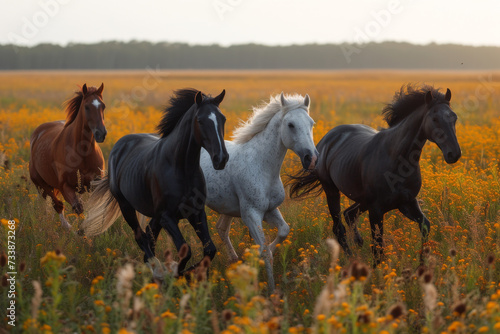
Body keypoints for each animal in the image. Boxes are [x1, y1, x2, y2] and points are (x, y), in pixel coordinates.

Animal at [29, 83, 106, 230]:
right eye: (87, 107)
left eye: (103, 106)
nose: (101, 133)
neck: (83, 153)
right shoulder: (65, 187)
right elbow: (78, 208)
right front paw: (81, 232)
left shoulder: (95, 184)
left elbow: (95, 208)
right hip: (41, 184)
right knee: (57, 205)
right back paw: (67, 228)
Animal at [82, 88, 229, 280]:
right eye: (200, 120)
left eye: (223, 119)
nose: (221, 159)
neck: (181, 168)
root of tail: (119, 146)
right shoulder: (167, 216)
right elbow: (186, 251)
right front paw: (174, 272)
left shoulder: (196, 212)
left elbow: (210, 249)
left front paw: (189, 273)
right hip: (126, 206)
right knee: (141, 237)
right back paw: (156, 268)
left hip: (155, 215)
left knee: (149, 235)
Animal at [199, 92, 316, 290]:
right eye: (290, 125)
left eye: (311, 123)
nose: (312, 158)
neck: (261, 165)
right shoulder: (251, 214)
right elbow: (264, 250)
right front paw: (270, 290)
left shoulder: (270, 210)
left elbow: (283, 231)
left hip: (227, 209)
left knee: (222, 229)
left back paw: (234, 261)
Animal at [290, 84, 460, 264]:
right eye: (435, 119)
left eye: (454, 117)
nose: (454, 154)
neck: (397, 159)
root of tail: (326, 140)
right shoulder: (377, 210)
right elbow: (378, 248)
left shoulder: (407, 202)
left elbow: (425, 226)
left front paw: (422, 266)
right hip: (332, 190)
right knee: (339, 228)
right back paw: (351, 259)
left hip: (362, 199)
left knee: (349, 214)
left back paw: (358, 242)